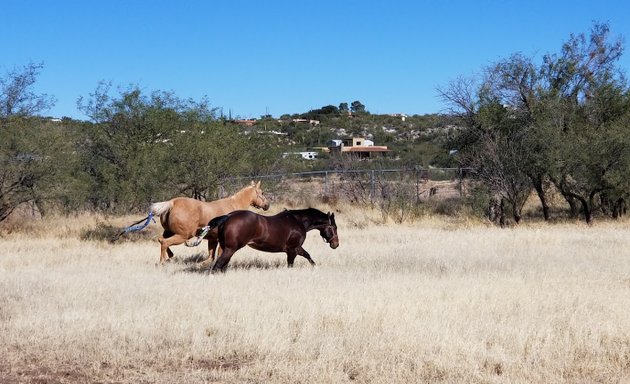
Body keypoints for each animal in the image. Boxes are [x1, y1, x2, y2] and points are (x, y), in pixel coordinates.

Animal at [205, 207, 338, 272]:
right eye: (334, 227)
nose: (336, 244)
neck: (297, 221)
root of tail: (227, 217)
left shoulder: (297, 248)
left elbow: (308, 256)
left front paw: (316, 267)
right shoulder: (292, 250)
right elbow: (291, 264)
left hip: (225, 248)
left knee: (222, 265)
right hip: (230, 249)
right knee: (218, 265)